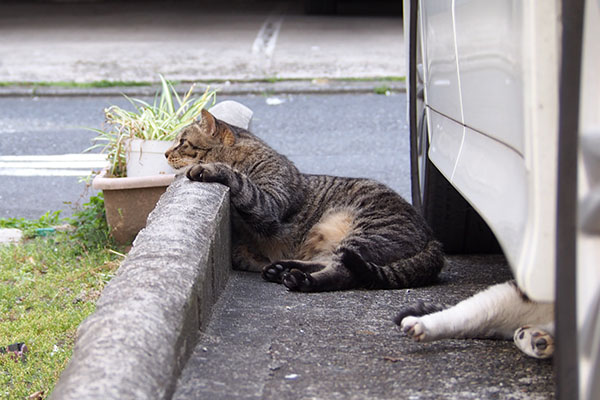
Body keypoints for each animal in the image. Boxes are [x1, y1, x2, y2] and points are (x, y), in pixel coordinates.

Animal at [166, 108, 442, 290]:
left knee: (345, 271)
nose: (166, 152)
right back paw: (281, 269)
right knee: (330, 261)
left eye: (182, 141)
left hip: (366, 232)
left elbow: (239, 180)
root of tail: (433, 237)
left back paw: (302, 280)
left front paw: (209, 168)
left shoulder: (269, 204)